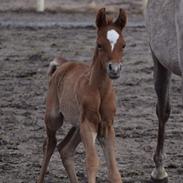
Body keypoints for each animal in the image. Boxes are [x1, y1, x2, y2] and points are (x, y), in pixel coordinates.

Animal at [36, 7, 126, 182]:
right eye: (99, 45)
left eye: (123, 45)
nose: (114, 69)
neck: (99, 91)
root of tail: (64, 64)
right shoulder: (88, 124)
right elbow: (92, 161)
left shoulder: (106, 126)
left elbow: (113, 170)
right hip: (55, 118)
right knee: (50, 143)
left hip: (77, 125)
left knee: (64, 149)